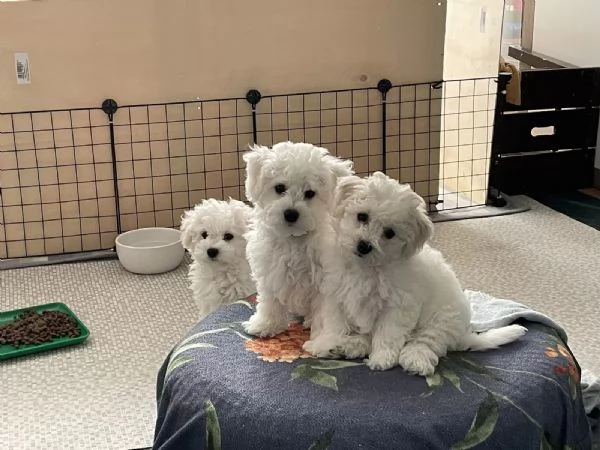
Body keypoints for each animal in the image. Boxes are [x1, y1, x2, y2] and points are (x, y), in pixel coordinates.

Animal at [244, 142, 354, 336]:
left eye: (310, 193)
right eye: (280, 188)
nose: (291, 213)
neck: (294, 239)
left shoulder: (325, 279)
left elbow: (324, 309)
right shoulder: (271, 270)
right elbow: (269, 300)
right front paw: (265, 324)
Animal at [304, 172, 524, 376]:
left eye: (389, 233)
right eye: (362, 216)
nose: (364, 246)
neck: (366, 266)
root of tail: (462, 335)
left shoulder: (398, 305)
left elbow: (388, 332)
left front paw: (382, 358)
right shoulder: (336, 295)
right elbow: (334, 325)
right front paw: (325, 343)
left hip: (441, 320)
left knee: (425, 342)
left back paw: (415, 360)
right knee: (367, 338)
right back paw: (347, 346)